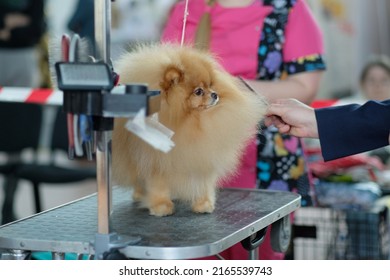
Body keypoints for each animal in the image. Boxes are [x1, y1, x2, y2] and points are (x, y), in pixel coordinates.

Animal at [111, 43, 266, 217]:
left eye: (211, 85)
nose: (215, 94)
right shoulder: (156, 161)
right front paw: (161, 207)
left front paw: (204, 204)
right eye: (198, 91)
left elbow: (204, 184)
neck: (192, 122)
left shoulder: (202, 159)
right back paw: (139, 195)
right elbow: (158, 186)